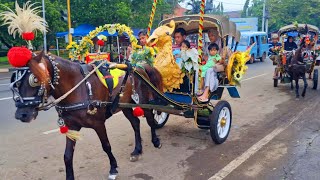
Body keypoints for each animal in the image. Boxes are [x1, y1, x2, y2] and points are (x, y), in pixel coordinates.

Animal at [11, 51, 164, 180]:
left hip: (144, 102)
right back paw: (137, 150)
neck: (78, 87)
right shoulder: (71, 127)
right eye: (15, 81)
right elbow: (67, 156)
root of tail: (140, 67)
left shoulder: (99, 124)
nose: (21, 114)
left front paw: (113, 168)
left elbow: (106, 146)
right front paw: (69, 177)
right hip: (124, 105)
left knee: (150, 120)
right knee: (135, 123)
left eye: (34, 79)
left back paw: (155, 141)